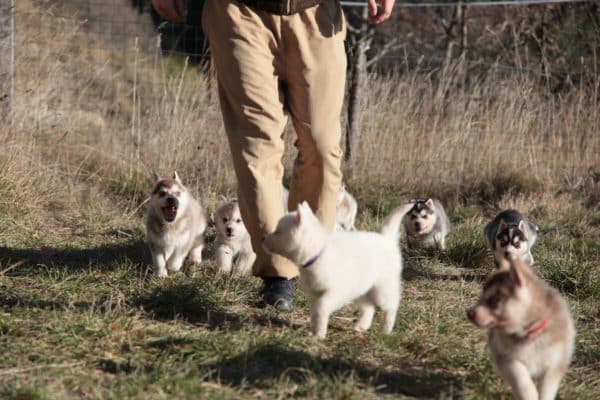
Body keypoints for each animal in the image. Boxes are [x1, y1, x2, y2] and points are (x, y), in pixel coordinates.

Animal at [262, 203, 412, 338]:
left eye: (278, 231)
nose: (264, 238)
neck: (318, 253)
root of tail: (387, 238)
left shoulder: (334, 293)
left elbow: (321, 308)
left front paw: (319, 335)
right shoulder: (315, 294)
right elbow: (315, 314)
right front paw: (315, 332)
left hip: (382, 288)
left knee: (391, 307)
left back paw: (386, 330)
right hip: (362, 288)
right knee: (368, 307)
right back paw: (361, 327)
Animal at [466, 256, 576, 400]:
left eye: (494, 301)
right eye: (480, 298)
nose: (469, 313)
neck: (528, 335)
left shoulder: (554, 365)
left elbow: (547, 389)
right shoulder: (507, 359)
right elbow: (521, 380)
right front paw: (529, 394)